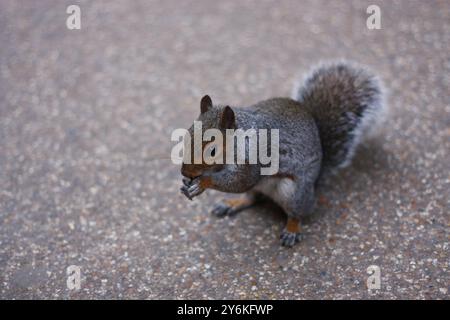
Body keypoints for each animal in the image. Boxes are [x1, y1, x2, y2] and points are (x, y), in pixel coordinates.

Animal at [181, 62, 384, 248]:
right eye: (188, 135)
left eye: (213, 151)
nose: (186, 173)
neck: (240, 138)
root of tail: (316, 180)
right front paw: (186, 184)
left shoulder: (254, 158)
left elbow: (240, 181)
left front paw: (203, 182)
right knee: (252, 197)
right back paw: (233, 203)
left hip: (293, 193)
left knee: (299, 212)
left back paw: (292, 230)